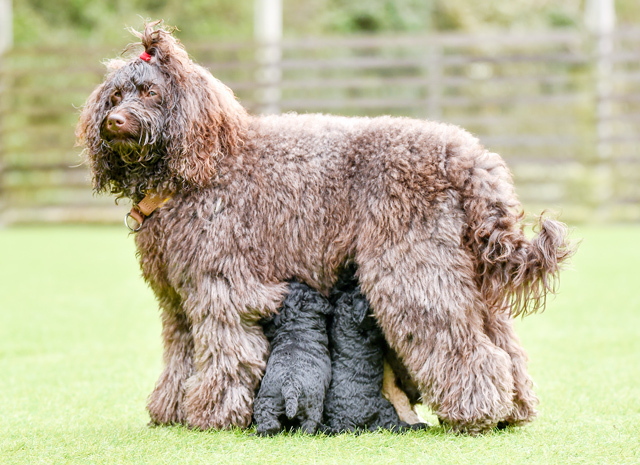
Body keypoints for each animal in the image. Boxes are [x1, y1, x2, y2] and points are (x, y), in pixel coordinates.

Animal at [252, 280, 332, 436]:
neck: (298, 324)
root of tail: (290, 385)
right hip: (312, 407)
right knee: (307, 427)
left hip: (268, 400)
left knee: (271, 424)